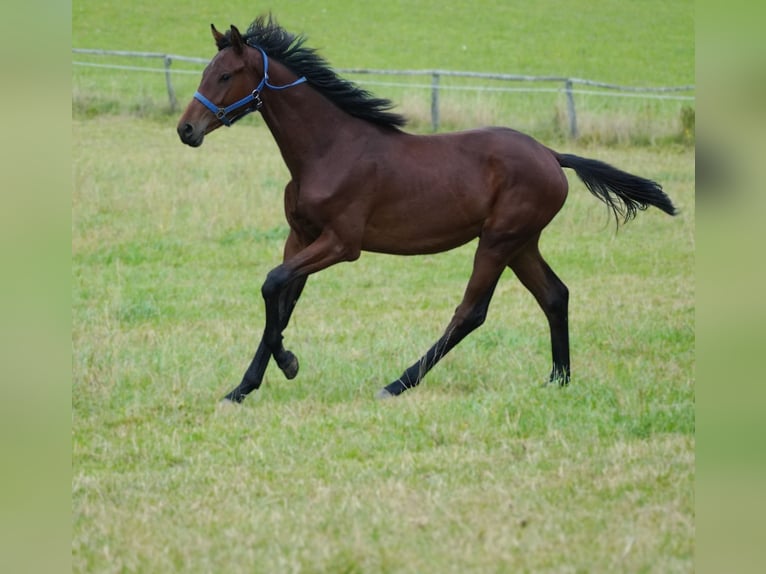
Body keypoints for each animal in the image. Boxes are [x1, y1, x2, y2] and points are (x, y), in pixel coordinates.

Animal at [176, 16, 680, 404]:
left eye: (225, 76)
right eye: (206, 72)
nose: (186, 130)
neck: (328, 151)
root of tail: (553, 156)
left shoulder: (342, 244)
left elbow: (272, 284)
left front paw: (287, 364)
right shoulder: (300, 236)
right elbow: (281, 300)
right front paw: (244, 387)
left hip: (498, 241)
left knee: (471, 312)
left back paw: (397, 384)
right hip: (522, 243)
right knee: (555, 295)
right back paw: (558, 380)